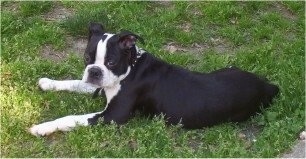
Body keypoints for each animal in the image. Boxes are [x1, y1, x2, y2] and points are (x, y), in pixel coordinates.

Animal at [29, 22, 280, 137]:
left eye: (111, 62)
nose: (94, 71)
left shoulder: (113, 116)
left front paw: (42, 127)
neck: (130, 68)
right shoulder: (101, 87)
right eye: (87, 58)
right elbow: (74, 82)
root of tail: (268, 86)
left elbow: (72, 118)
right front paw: (48, 82)